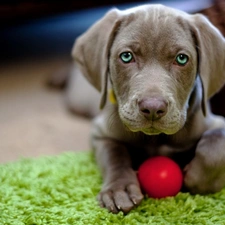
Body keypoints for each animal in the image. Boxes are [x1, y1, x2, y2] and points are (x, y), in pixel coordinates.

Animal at [70, 4, 225, 214]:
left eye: (181, 59)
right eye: (126, 56)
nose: (152, 108)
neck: (156, 139)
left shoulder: (214, 122)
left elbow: (215, 146)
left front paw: (196, 178)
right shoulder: (100, 133)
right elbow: (114, 154)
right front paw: (119, 190)